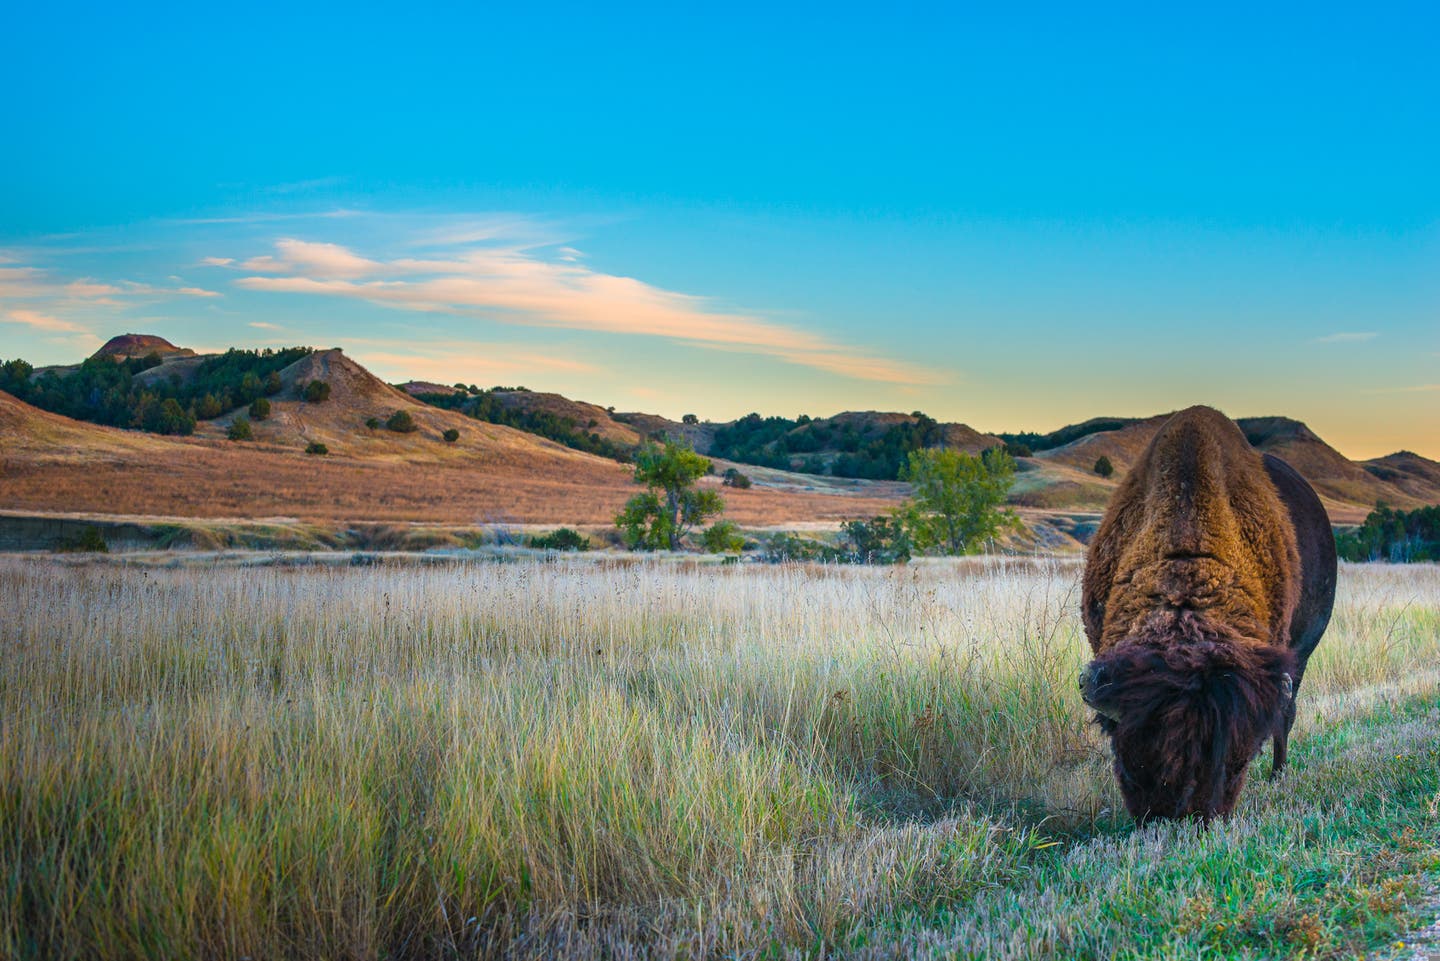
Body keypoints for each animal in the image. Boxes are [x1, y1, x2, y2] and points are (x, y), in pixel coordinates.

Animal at [1082, 403, 1336, 824]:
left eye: (1236, 763)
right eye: (1129, 764)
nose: (1180, 817)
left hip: (1301, 655)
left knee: (1287, 714)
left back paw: (1278, 776)